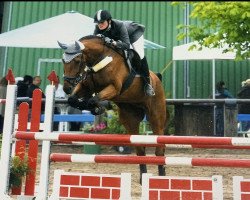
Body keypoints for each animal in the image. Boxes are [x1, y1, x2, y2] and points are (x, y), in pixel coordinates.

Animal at [57, 34, 169, 183]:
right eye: (63, 60)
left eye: (77, 60)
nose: (67, 88)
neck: (98, 59)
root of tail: (157, 78)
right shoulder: (86, 87)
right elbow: (73, 100)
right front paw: (93, 107)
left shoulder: (114, 88)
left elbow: (94, 99)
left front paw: (98, 107)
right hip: (130, 118)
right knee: (140, 148)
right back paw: (143, 177)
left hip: (156, 116)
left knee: (159, 148)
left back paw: (161, 177)